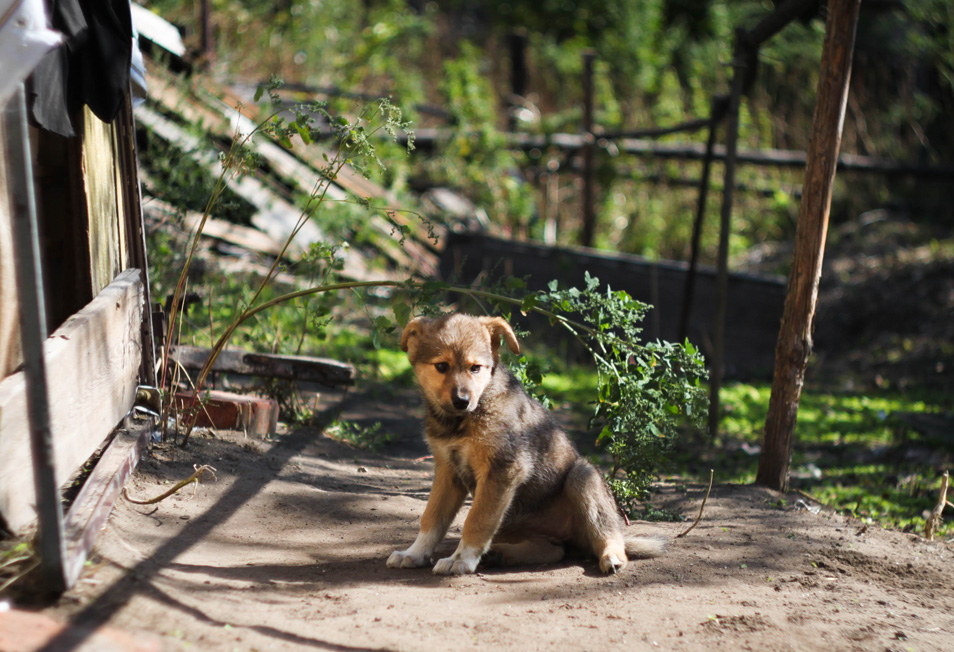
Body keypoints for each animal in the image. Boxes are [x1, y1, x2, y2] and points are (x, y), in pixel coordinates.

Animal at [386, 316, 660, 576]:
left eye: (475, 368)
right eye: (441, 366)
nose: (462, 401)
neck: (461, 422)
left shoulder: (503, 468)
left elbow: (476, 520)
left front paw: (460, 560)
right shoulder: (447, 470)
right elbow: (432, 518)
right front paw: (414, 554)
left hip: (583, 475)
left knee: (607, 532)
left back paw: (612, 557)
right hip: (512, 522)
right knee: (553, 550)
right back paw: (500, 554)